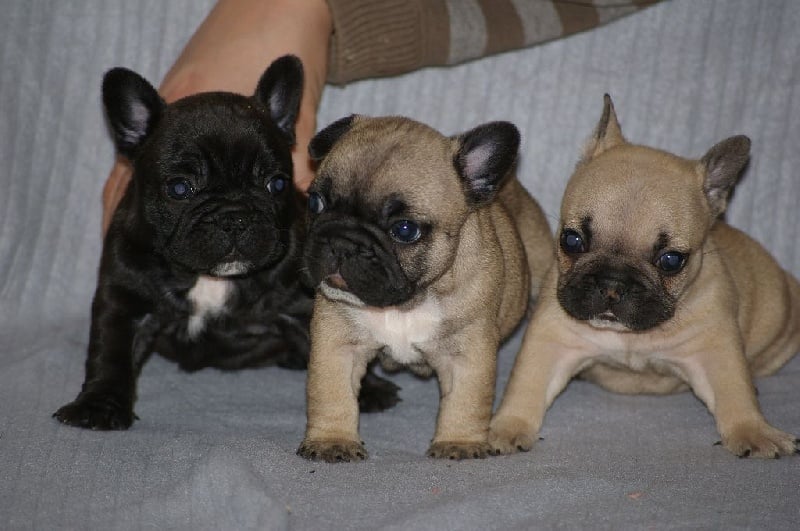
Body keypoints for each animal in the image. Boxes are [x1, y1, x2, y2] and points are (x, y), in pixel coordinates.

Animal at [54, 57, 398, 432]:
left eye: (276, 184)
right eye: (179, 188)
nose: (235, 217)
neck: (209, 278)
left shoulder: (302, 305)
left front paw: (367, 389)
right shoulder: (124, 298)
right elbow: (111, 352)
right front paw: (99, 403)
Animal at [296, 115, 556, 462]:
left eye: (405, 230)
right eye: (315, 202)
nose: (342, 242)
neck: (407, 302)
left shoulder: (466, 352)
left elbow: (466, 400)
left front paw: (459, 442)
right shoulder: (338, 342)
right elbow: (331, 393)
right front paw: (332, 440)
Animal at [490, 94, 796, 458]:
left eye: (671, 261)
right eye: (571, 240)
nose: (612, 284)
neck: (632, 338)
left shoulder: (714, 348)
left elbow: (734, 391)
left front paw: (753, 431)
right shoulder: (553, 337)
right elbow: (527, 383)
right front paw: (507, 427)